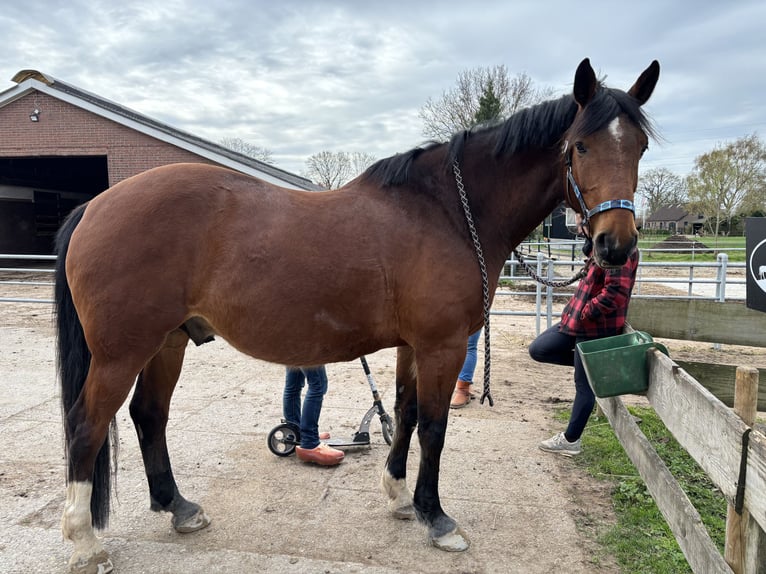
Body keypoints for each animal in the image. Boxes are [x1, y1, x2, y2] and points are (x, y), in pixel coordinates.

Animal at [54, 58, 659, 573]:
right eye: (579, 146)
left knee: (148, 416)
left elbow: (406, 413)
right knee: (87, 425)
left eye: (641, 146)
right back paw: (85, 543)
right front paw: (437, 518)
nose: (615, 246)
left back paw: (179, 508)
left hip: (168, 342)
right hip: (122, 352)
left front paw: (398, 497)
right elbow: (435, 427)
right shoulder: (440, 345)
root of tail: (95, 205)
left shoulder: (414, 347)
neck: (445, 211)